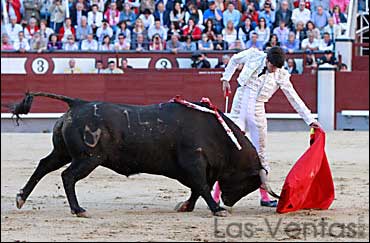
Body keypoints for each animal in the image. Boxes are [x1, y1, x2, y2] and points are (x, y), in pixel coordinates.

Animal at [11, 92, 272, 217]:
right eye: (248, 183)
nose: (228, 202)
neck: (218, 133)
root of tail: (77, 103)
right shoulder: (194, 163)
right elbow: (201, 186)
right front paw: (216, 209)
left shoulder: (200, 168)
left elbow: (197, 189)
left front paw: (186, 206)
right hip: (88, 159)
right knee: (68, 176)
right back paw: (78, 210)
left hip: (63, 152)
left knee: (44, 165)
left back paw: (21, 197)